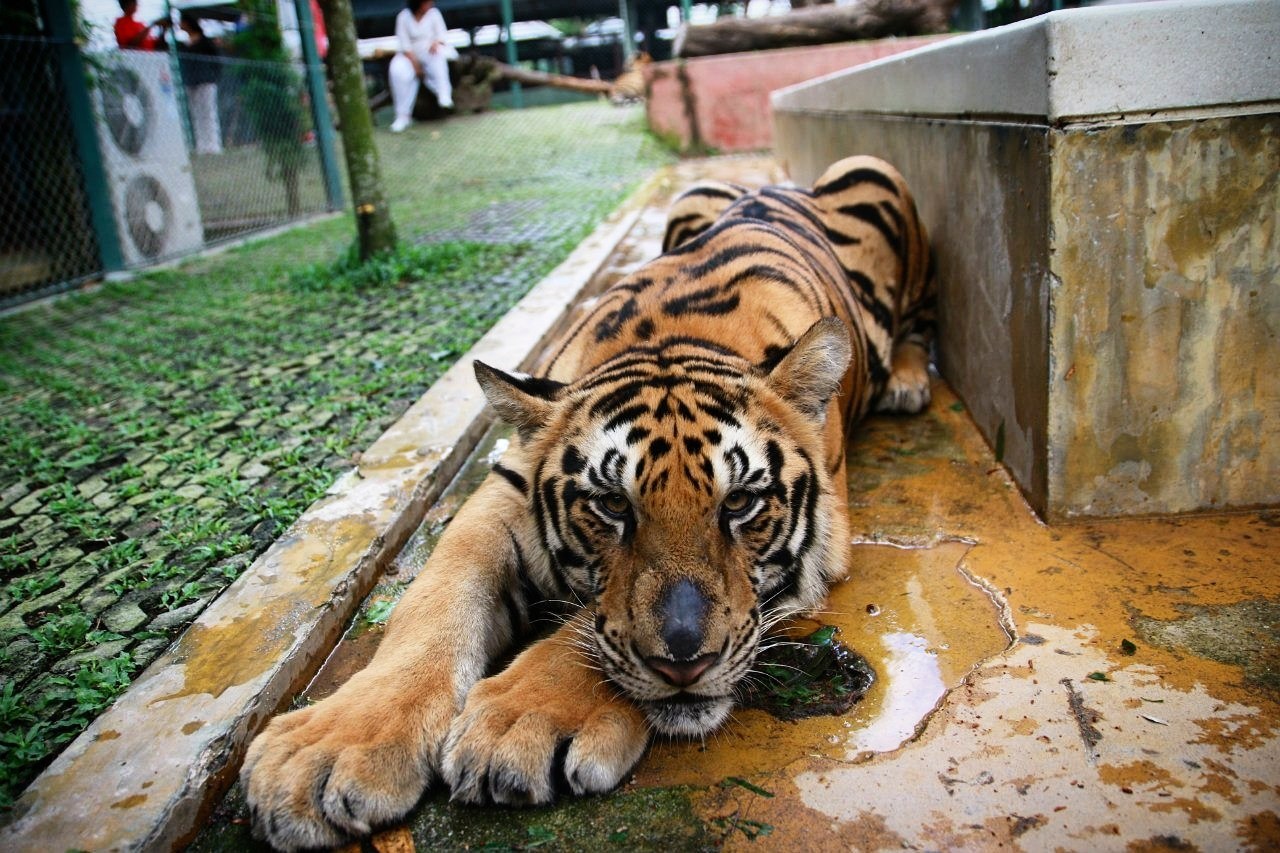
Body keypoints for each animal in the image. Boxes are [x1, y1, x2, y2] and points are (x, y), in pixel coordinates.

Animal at [244, 156, 936, 845]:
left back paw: (907, 378)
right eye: (613, 506)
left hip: (872, 170)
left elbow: (587, 624)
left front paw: (519, 724)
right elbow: (434, 600)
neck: (675, 334)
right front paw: (330, 747)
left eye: (739, 503)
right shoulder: (502, 488)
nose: (685, 665)